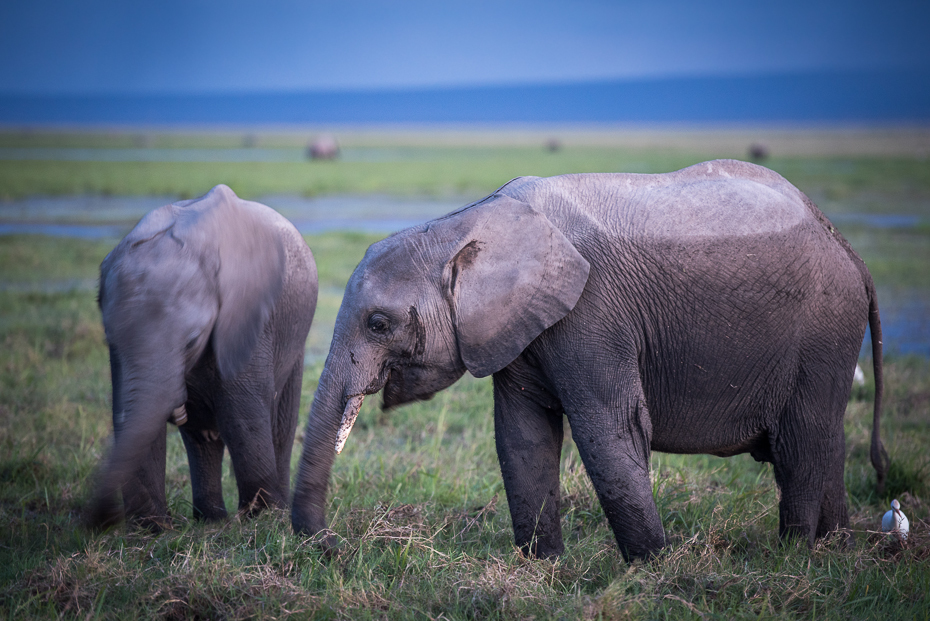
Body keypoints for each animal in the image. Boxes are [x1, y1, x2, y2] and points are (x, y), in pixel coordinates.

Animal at [88, 183, 320, 528]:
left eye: (192, 341)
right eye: (110, 338)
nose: (104, 518)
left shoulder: (249, 318)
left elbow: (241, 413)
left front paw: (260, 520)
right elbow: (131, 414)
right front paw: (150, 528)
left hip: (294, 333)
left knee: (278, 424)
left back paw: (269, 512)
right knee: (201, 438)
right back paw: (210, 519)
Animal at [290, 161, 884, 560]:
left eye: (378, 324)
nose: (334, 545)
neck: (467, 222)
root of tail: (847, 248)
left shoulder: (592, 313)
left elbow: (610, 430)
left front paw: (652, 571)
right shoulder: (522, 325)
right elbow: (522, 436)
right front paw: (543, 568)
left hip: (825, 326)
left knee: (800, 442)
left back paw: (794, 555)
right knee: (823, 440)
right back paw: (835, 549)